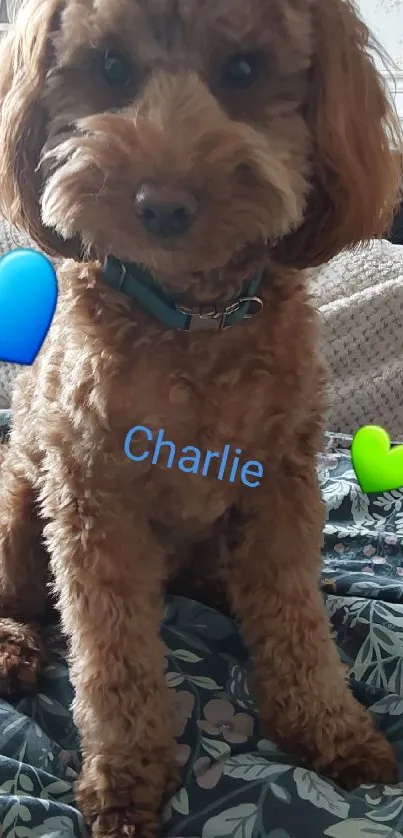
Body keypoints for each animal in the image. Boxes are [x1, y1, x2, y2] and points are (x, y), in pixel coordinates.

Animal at [0, 0, 402, 836]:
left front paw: (328, 727)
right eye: (110, 67)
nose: (161, 205)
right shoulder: (93, 504)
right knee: (19, 598)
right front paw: (125, 777)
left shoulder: (282, 486)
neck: (190, 318)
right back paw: (12, 648)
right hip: (17, 501)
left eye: (244, 71)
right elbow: (111, 654)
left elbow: (294, 616)